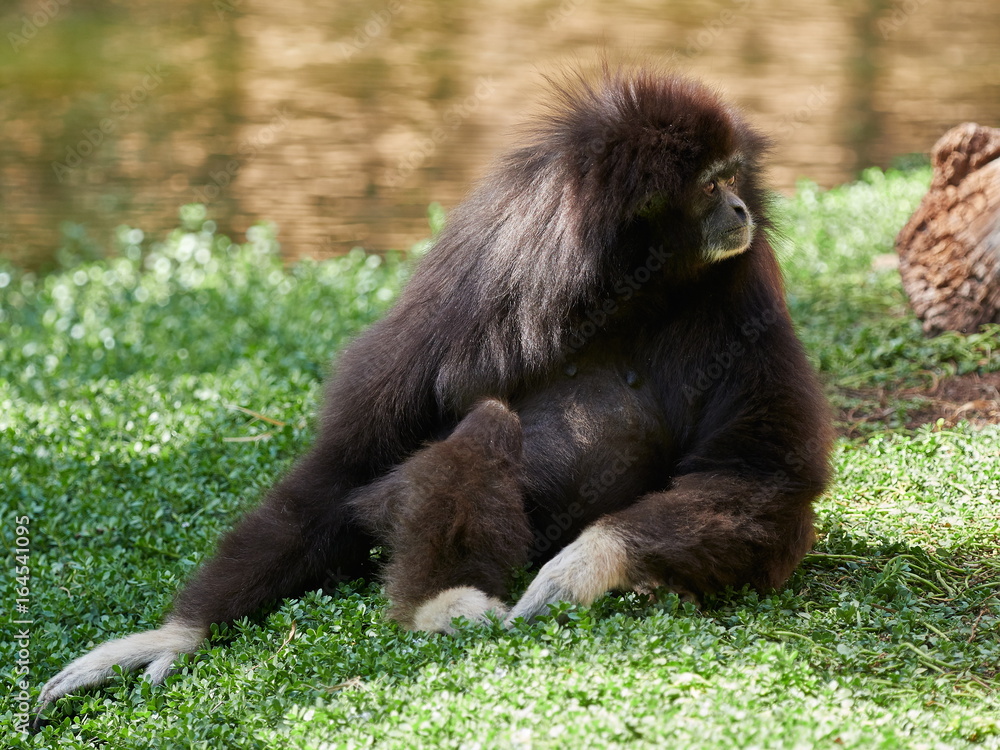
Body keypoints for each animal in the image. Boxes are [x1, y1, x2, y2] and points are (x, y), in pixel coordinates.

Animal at [40, 67, 832, 707]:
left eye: (734, 176)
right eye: (711, 184)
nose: (740, 209)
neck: (628, 288)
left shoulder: (744, 295)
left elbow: (759, 473)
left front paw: (586, 565)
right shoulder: (483, 275)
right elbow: (347, 462)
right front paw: (178, 635)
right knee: (483, 424)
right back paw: (441, 602)